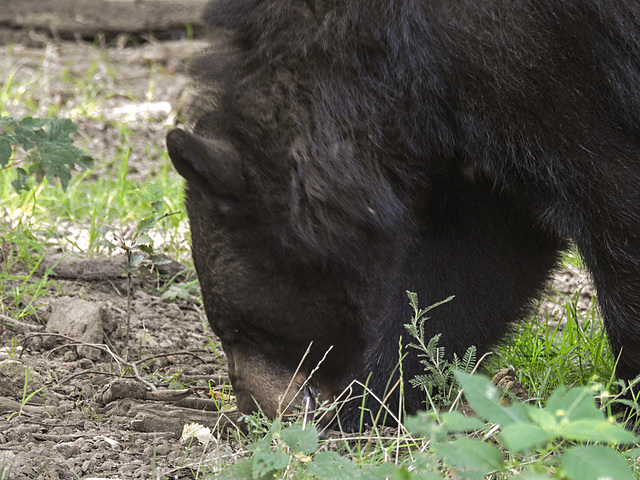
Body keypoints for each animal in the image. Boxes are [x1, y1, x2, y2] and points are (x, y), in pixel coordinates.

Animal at [168, 0, 640, 428]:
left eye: (237, 330)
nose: (254, 411)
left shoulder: (553, 60)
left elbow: (616, 202)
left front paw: (626, 410)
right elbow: (471, 264)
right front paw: (369, 404)